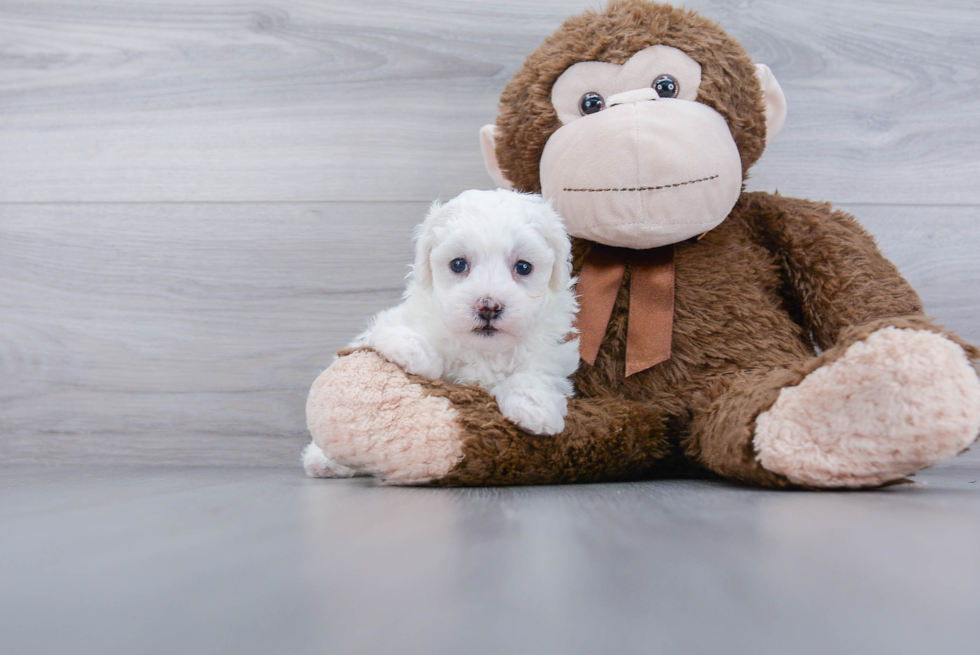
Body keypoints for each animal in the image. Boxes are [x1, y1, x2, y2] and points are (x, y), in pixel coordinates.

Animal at [304, 187, 580, 480]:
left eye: (524, 267)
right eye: (458, 264)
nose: (488, 306)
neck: (482, 350)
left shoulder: (549, 354)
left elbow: (534, 374)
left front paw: (534, 406)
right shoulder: (400, 318)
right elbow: (398, 331)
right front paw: (416, 352)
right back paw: (321, 460)